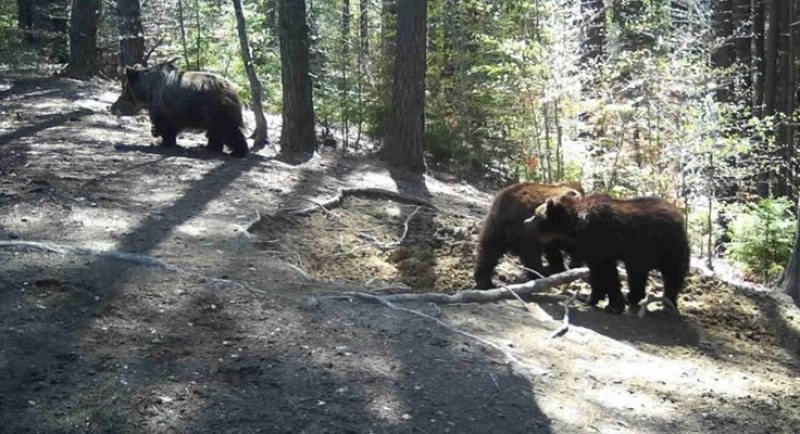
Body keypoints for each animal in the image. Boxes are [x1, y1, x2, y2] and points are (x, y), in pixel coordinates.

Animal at [108, 59, 248, 157]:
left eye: (125, 87)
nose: (115, 104)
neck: (148, 89)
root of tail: (233, 90)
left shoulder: (162, 104)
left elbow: (164, 123)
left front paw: (163, 139)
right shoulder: (173, 109)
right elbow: (172, 125)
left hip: (216, 108)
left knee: (227, 129)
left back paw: (238, 152)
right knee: (216, 131)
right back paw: (210, 147)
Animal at [524, 192, 688, 312]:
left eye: (536, 214)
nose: (526, 222)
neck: (574, 229)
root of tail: (677, 213)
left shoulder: (601, 241)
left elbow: (607, 273)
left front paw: (614, 305)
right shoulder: (591, 250)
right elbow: (596, 273)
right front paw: (592, 298)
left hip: (667, 246)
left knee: (673, 274)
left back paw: (668, 302)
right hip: (640, 255)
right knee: (637, 274)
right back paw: (633, 297)